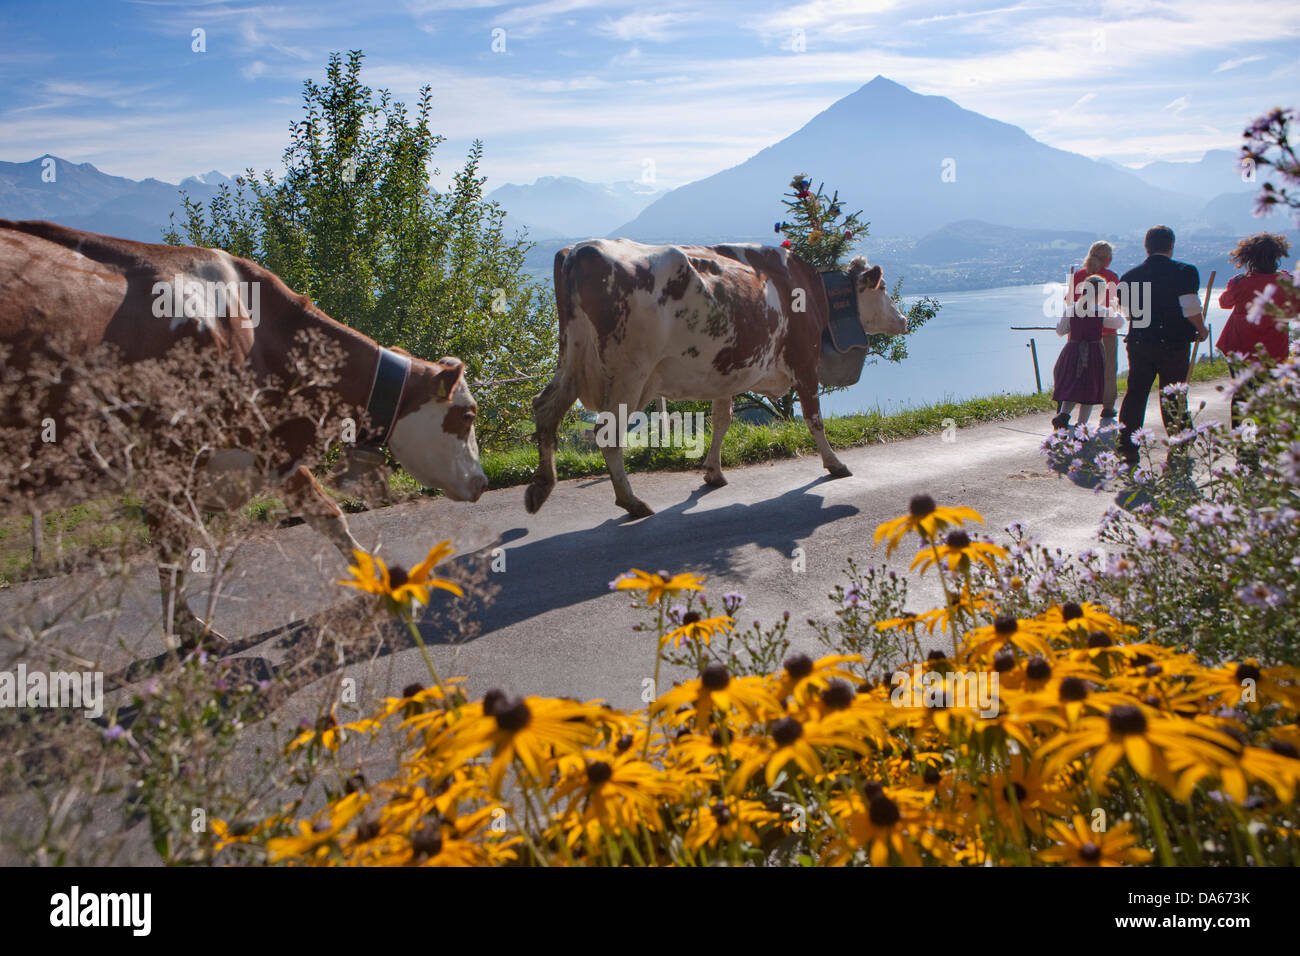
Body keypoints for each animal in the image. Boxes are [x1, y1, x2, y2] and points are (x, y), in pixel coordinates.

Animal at [0, 221, 488, 647]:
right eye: (467, 414)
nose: (482, 482)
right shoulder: (173, 458)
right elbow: (171, 550)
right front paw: (190, 631)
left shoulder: (265, 445)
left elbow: (327, 513)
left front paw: (381, 583)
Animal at [525, 243, 904, 520]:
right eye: (883, 288)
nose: (901, 319)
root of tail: (579, 249)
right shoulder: (805, 363)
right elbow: (815, 419)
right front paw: (835, 463)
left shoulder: (726, 373)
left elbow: (722, 420)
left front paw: (712, 471)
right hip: (628, 373)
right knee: (608, 433)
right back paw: (631, 502)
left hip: (572, 357)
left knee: (545, 408)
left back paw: (541, 486)